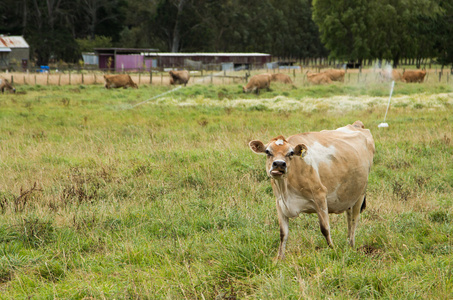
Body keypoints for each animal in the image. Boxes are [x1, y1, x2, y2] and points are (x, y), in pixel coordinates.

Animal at [247, 120, 374, 258]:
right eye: (268, 152)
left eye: (291, 153)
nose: (279, 164)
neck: (286, 190)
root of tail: (356, 125)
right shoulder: (279, 203)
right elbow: (283, 233)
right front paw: (279, 258)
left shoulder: (320, 196)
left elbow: (325, 229)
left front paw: (333, 250)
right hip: (349, 194)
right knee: (349, 218)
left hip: (360, 193)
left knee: (354, 220)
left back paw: (351, 244)